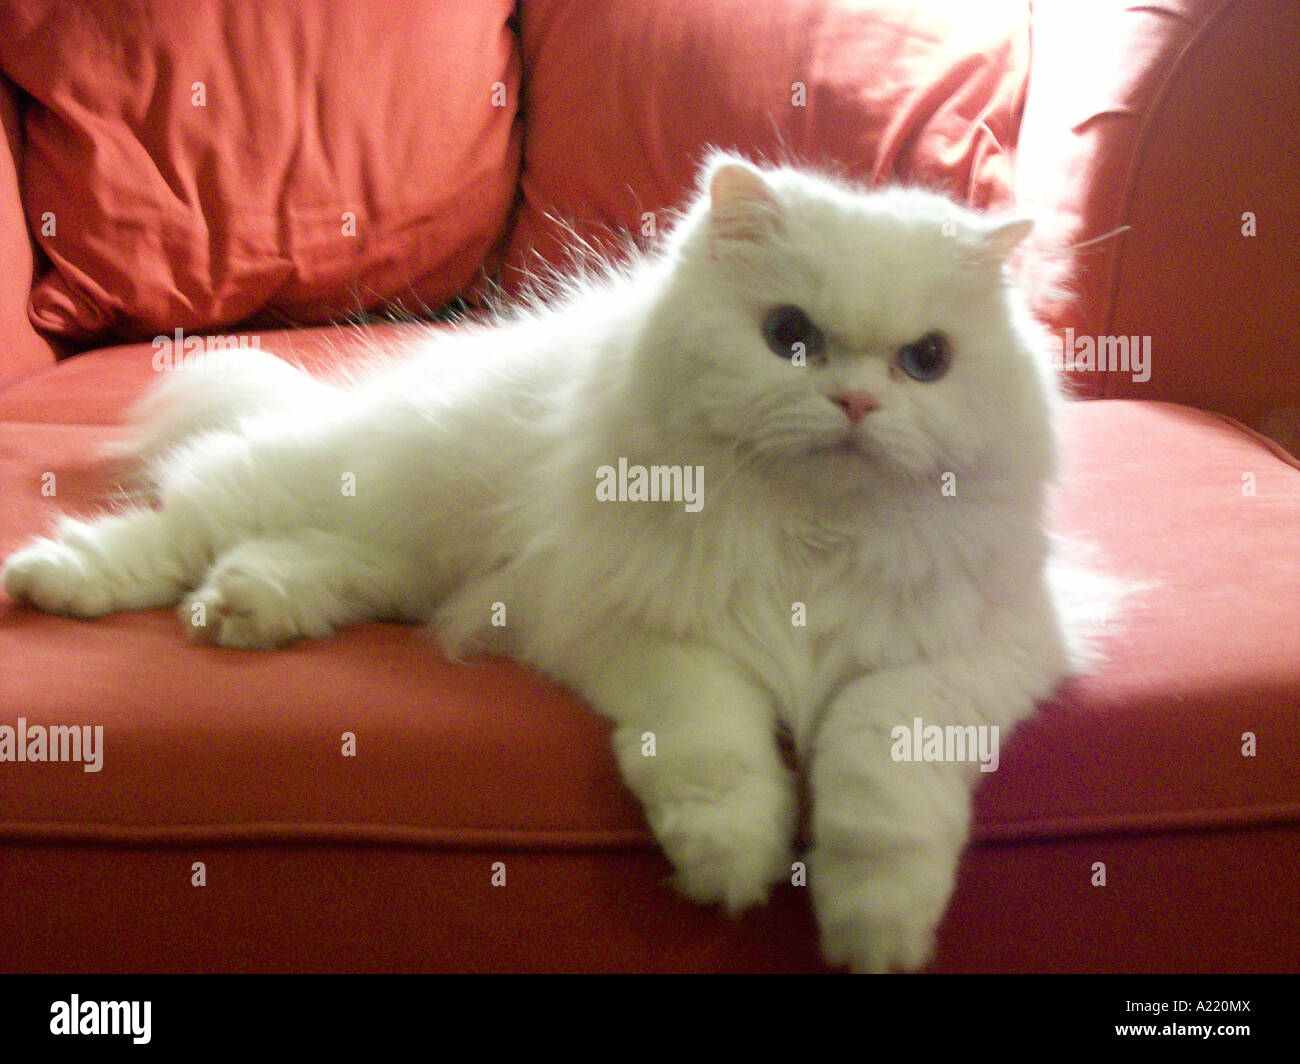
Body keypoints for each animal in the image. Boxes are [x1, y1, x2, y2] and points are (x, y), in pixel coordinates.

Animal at [5, 153, 1076, 972]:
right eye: (789, 338)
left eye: (927, 362)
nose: (856, 405)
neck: (809, 537)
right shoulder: (635, 627)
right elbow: (718, 745)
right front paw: (729, 865)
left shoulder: (968, 656)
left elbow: (880, 775)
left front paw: (877, 933)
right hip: (345, 478)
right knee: (187, 510)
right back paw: (57, 582)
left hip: (412, 550)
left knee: (298, 558)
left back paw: (241, 608)